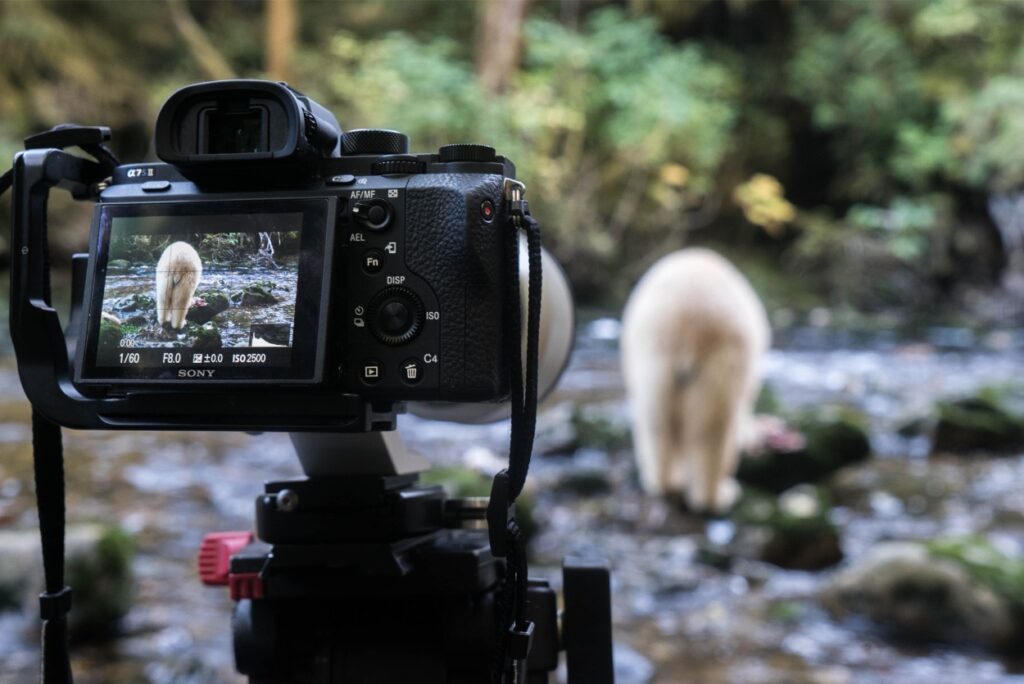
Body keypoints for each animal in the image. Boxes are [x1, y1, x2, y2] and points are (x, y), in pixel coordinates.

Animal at [620, 248, 770, 514]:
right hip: (722, 362)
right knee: (713, 432)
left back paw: (662, 482)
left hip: (650, 362)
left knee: (654, 423)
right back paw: (720, 495)